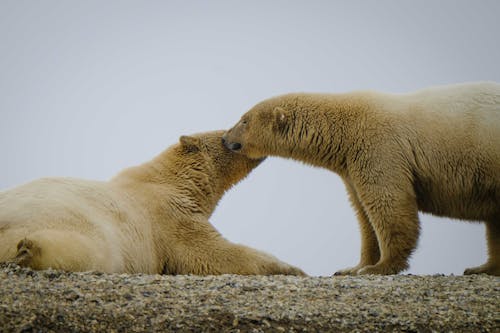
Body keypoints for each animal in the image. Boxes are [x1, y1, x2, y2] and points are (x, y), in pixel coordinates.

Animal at [0, 130, 304, 274]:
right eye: (225, 135)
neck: (168, 178)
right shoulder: (170, 216)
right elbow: (212, 252)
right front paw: (291, 268)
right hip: (92, 233)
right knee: (84, 251)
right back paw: (29, 250)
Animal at [224, 81, 500, 274]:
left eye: (244, 120)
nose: (226, 139)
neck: (344, 128)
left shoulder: (379, 147)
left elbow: (388, 204)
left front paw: (380, 267)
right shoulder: (351, 164)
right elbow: (364, 214)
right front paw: (352, 267)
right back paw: (482, 268)